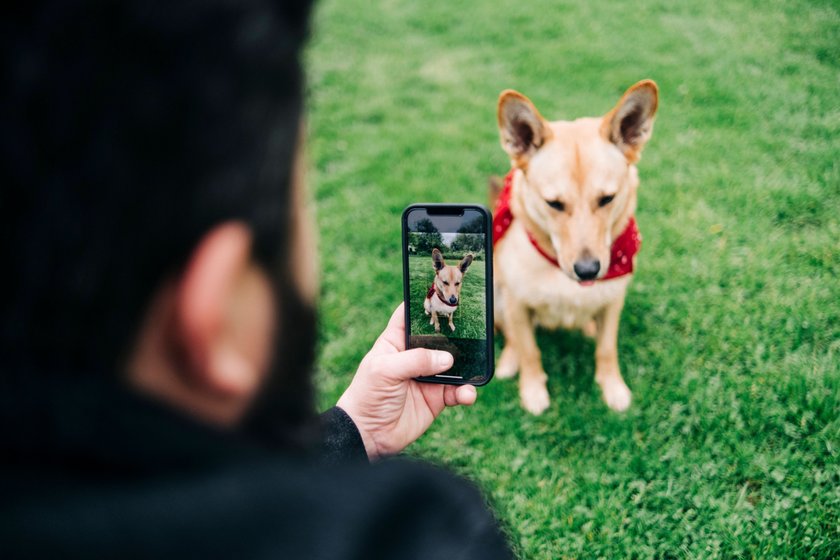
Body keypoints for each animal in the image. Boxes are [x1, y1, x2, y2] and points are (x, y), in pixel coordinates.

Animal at [492, 81, 656, 416]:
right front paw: (533, 391)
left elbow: (606, 350)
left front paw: (613, 388)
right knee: (513, 339)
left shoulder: (613, 303)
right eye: (554, 203)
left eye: (607, 199)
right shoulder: (517, 305)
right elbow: (529, 351)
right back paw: (508, 362)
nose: (588, 271)